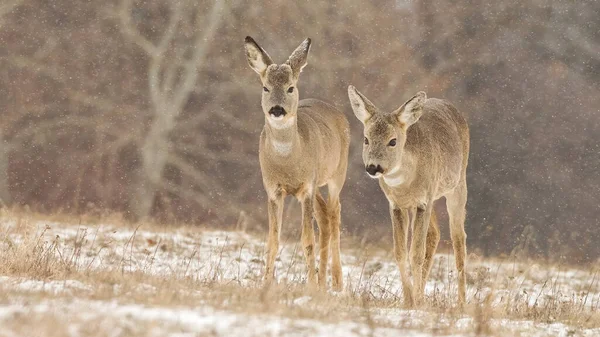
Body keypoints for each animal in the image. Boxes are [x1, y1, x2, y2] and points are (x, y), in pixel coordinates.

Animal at [243, 36, 350, 288]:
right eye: (265, 87)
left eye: (290, 87)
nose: (277, 109)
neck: (288, 163)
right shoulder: (273, 189)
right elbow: (273, 239)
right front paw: (267, 282)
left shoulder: (307, 188)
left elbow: (307, 239)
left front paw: (310, 283)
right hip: (318, 181)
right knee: (325, 218)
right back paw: (323, 280)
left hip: (337, 174)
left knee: (335, 214)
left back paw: (336, 282)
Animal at [350, 86, 472, 308]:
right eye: (366, 139)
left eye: (393, 141)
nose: (373, 167)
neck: (405, 184)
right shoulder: (397, 204)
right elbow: (400, 252)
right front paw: (408, 300)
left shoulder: (424, 201)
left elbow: (416, 253)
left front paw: (416, 301)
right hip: (431, 199)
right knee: (434, 234)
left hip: (457, 186)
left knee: (459, 238)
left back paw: (461, 302)